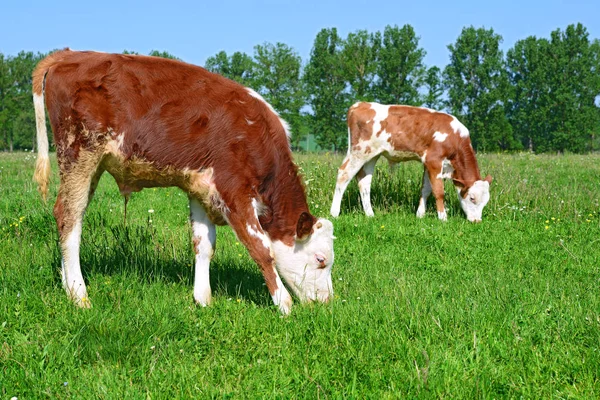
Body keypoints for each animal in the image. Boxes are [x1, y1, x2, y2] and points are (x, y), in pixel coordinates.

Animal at [32, 50, 336, 314]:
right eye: (321, 260)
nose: (327, 303)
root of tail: (71, 53)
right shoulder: (234, 191)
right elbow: (261, 249)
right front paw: (284, 306)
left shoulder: (200, 189)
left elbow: (204, 245)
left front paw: (203, 299)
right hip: (79, 153)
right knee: (69, 217)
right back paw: (79, 294)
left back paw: (66, 285)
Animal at [328, 102, 492, 222]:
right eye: (472, 198)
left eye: (486, 202)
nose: (477, 221)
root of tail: (360, 104)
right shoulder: (434, 161)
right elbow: (439, 191)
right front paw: (443, 218)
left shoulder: (429, 164)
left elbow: (426, 189)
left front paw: (420, 214)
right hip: (359, 151)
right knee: (344, 174)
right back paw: (334, 213)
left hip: (371, 155)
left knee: (364, 181)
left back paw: (370, 214)